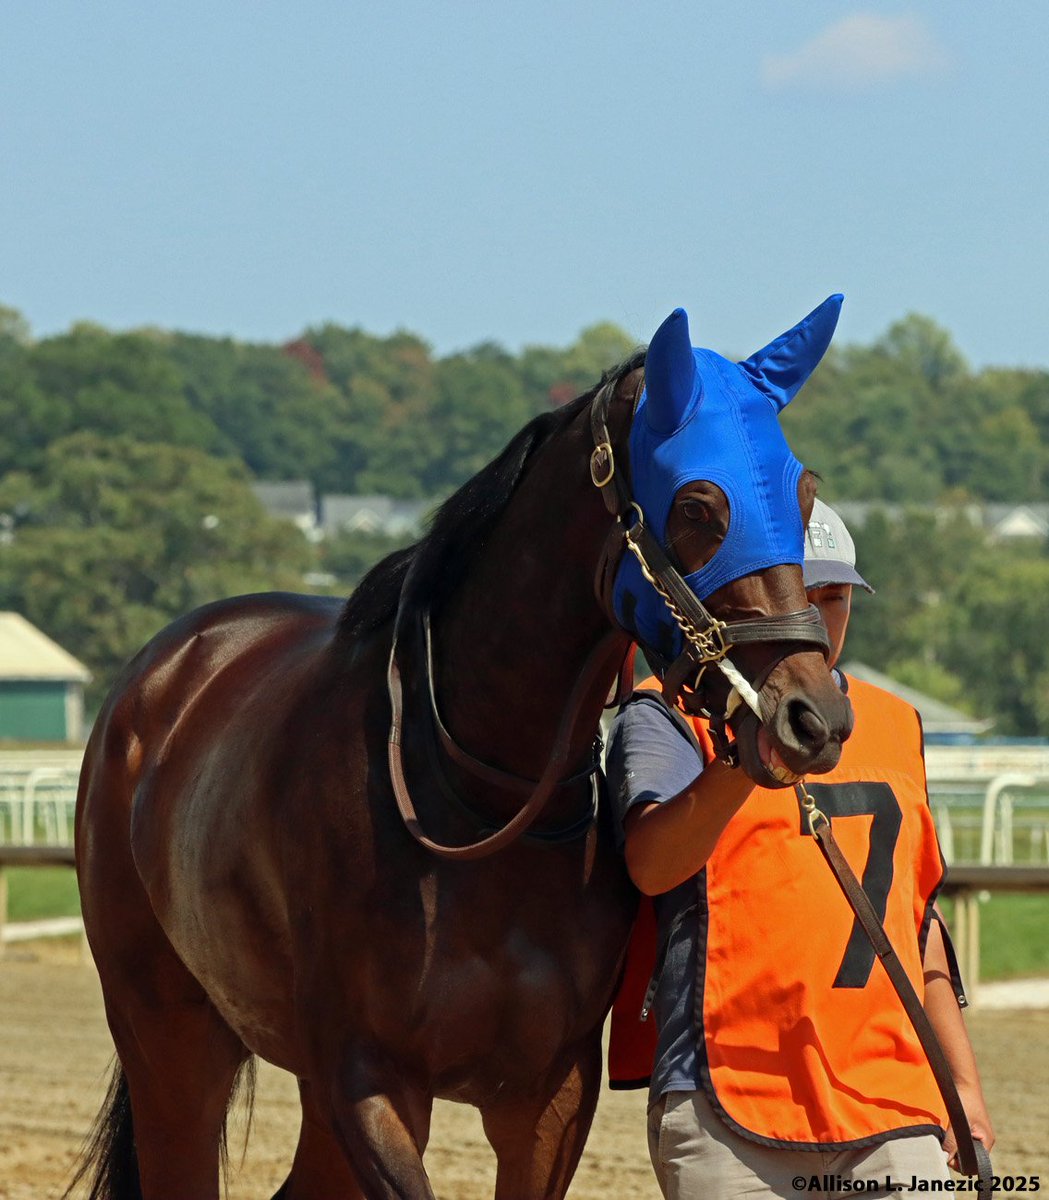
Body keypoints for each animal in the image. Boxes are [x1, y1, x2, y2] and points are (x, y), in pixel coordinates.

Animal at [71, 297, 854, 1200]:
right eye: (696, 504)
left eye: (803, 492)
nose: (811, 716)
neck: (479, 797)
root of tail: (160, 674)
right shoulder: (370, 1080)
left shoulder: (550, 1093)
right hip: (169, 1032)